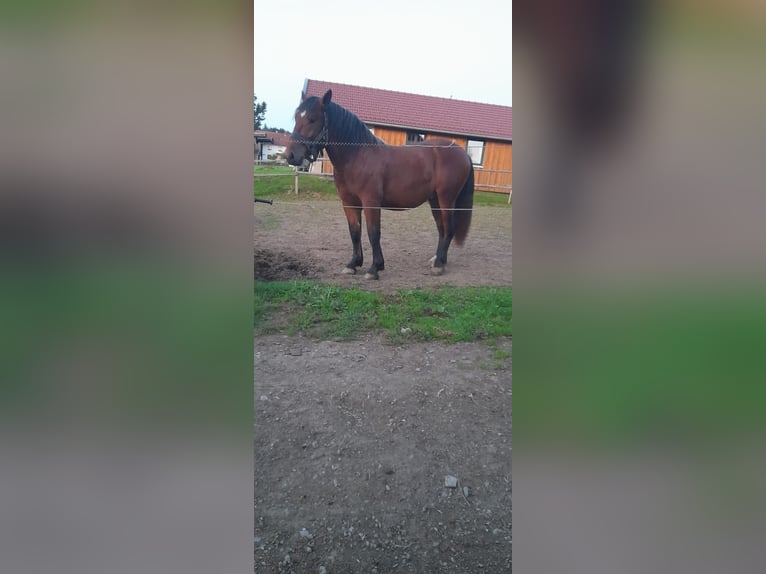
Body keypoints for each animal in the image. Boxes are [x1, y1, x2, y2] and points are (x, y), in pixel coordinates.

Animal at [286, 89, 474, 280]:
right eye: (297, 117)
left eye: (312, 119)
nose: (290, 155)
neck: (357, 156)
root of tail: (461, 152)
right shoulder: (349, 203)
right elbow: (355, 232)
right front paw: (353, 264)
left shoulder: (371, 202)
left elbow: (373, 233)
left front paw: (374, 268)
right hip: (434, 200)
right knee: (442, 228)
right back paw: (438, 260)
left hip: (446, 198)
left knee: (449, 228)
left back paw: (438, 265)